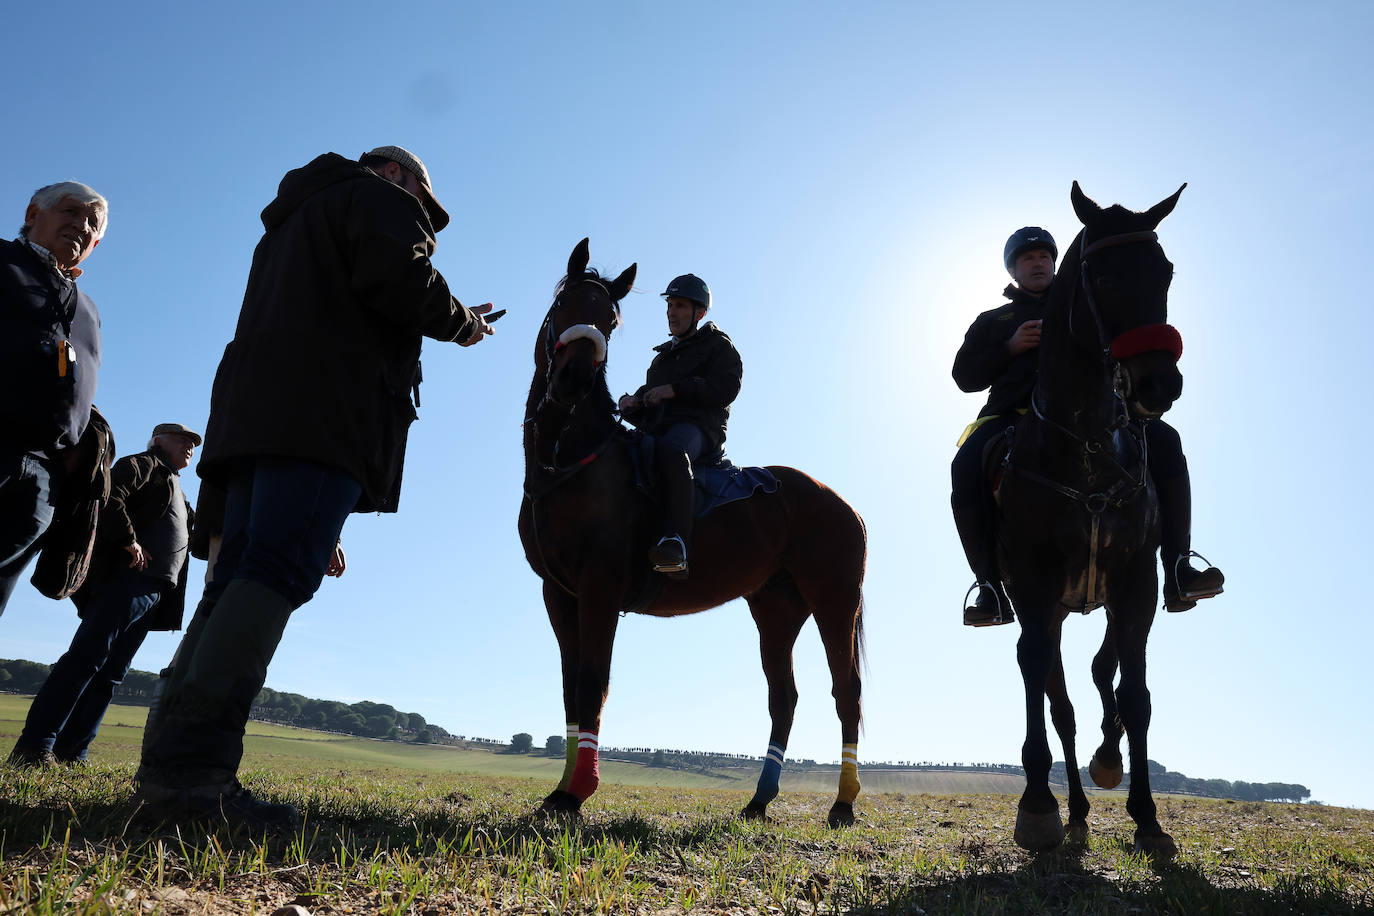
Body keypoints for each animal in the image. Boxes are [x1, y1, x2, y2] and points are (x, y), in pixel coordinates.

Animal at [519, 240, 862, 829]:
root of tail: (843, 505)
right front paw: (561, 789)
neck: (573, 458)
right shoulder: (558, 594)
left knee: (847, 694)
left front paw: (577, 792)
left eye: (610, 319)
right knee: (784, 698)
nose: (573, 382)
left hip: (834, 604)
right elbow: (569, 687)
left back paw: (842, 803)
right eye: (564, 305)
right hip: (776, 611)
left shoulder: (599, 590)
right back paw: (759, 800)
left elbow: (592, 682)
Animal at [1000, 184, 1192, 862]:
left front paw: (1147, 816)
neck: (1083, 445)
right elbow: (1043, 684)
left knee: (1097, 675)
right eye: (1105, 276)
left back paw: (1103, 771)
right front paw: (1038, 806)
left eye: (1165, 272)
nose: (1159, 383)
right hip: (1047, 607)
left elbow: (1134, 695)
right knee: (1055, 694)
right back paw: (1071, 807)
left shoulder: (1137, 584)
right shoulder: (1034, 588)